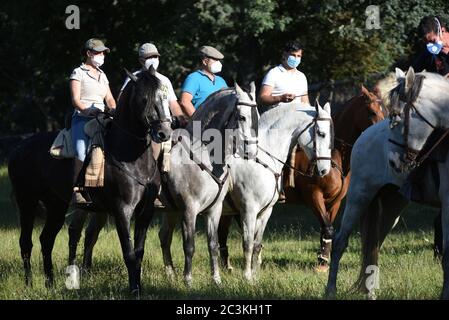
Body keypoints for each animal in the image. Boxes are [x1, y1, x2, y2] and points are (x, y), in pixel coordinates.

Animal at [160, 100, 332, 282]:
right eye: (321, 133)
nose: (324, 170)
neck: (260, 158)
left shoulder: (265, 212)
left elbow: (256, 244)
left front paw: (255, 276)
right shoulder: (249, 210)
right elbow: (247, 243)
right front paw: (247, 276)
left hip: (172, 209)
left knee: (164, 236)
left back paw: (171, 274)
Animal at [216, 84, 382, 270]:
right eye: (371, 112)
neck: (335, 159)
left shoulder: (335, 202)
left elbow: (327, 228)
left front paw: (324, 258)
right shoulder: (314, 196)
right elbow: (327, 227)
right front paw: (322, 262)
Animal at [324, 67, 448, 300]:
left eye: (396, 116)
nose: (394, 162)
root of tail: (364, 135)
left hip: (392, 206)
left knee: (373, 246)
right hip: (359, 198)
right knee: (340, 242)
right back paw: (330, 290)